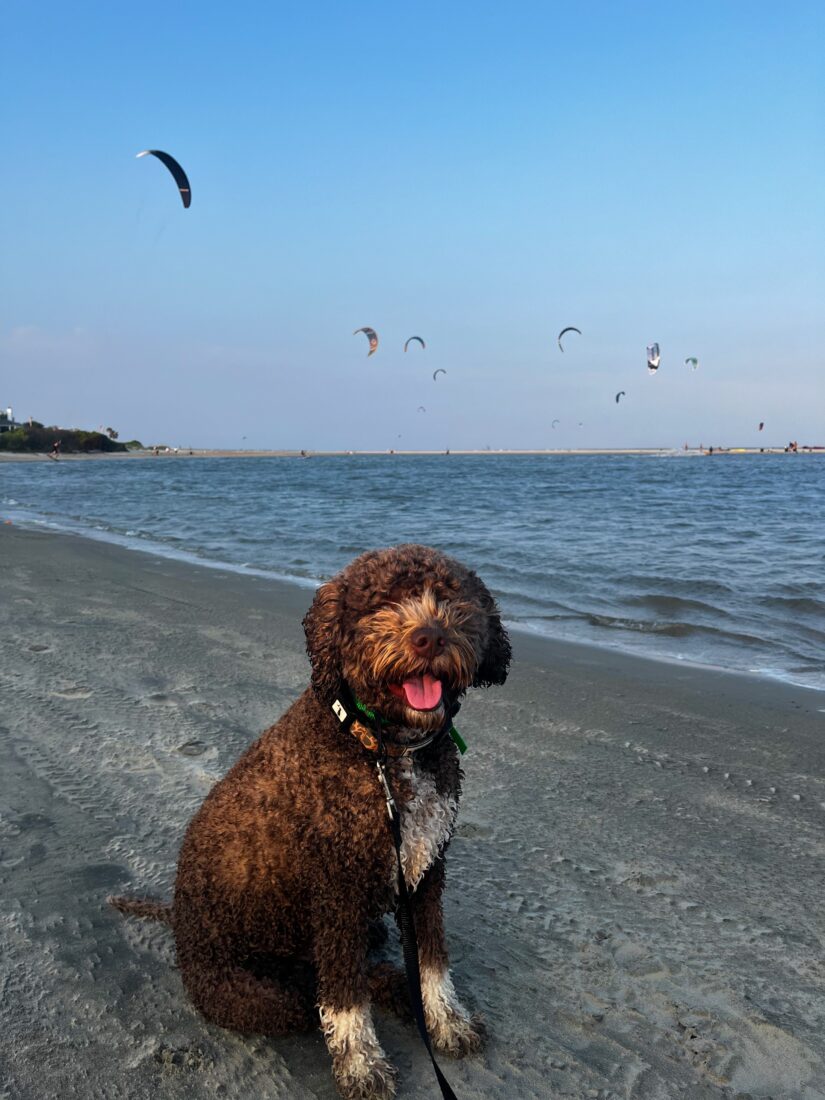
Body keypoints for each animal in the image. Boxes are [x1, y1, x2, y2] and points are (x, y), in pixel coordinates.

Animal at [110, 543, 510, 1100]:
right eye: (381, 603)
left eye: (451, 597)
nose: (430, 636)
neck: (384, 749)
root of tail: (178, 921)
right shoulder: (337, 890)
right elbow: (344, 997)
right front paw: (362, 1065)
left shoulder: (426, 870)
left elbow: (432, 961)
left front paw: (447, 1022)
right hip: (260, 991)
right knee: (314, 993)